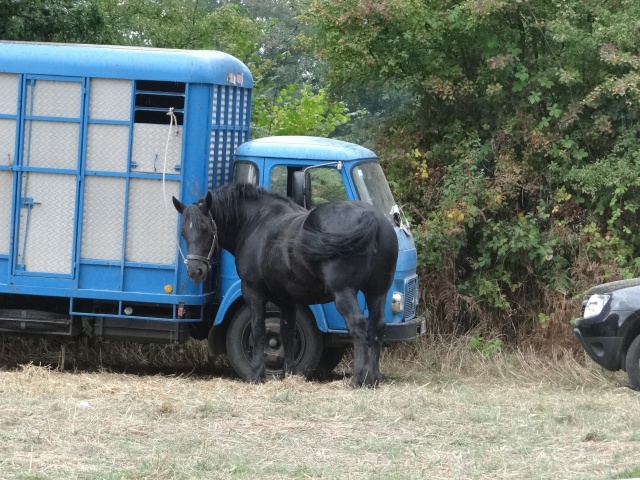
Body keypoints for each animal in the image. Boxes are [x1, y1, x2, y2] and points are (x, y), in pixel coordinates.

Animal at [172, 182, 398, 388]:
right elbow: (287, 333)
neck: (256, 222)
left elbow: (259, 330)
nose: (195, 271)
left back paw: (359, 378)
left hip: (344, 293)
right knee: (377, 326)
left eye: (206, 229)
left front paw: (257, 374)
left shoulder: (253, 293)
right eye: (183, 232)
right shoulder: (287, 299)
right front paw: (289, 374)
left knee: (358, 325)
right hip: (378, 292)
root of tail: (371, 217)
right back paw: (373, 378)